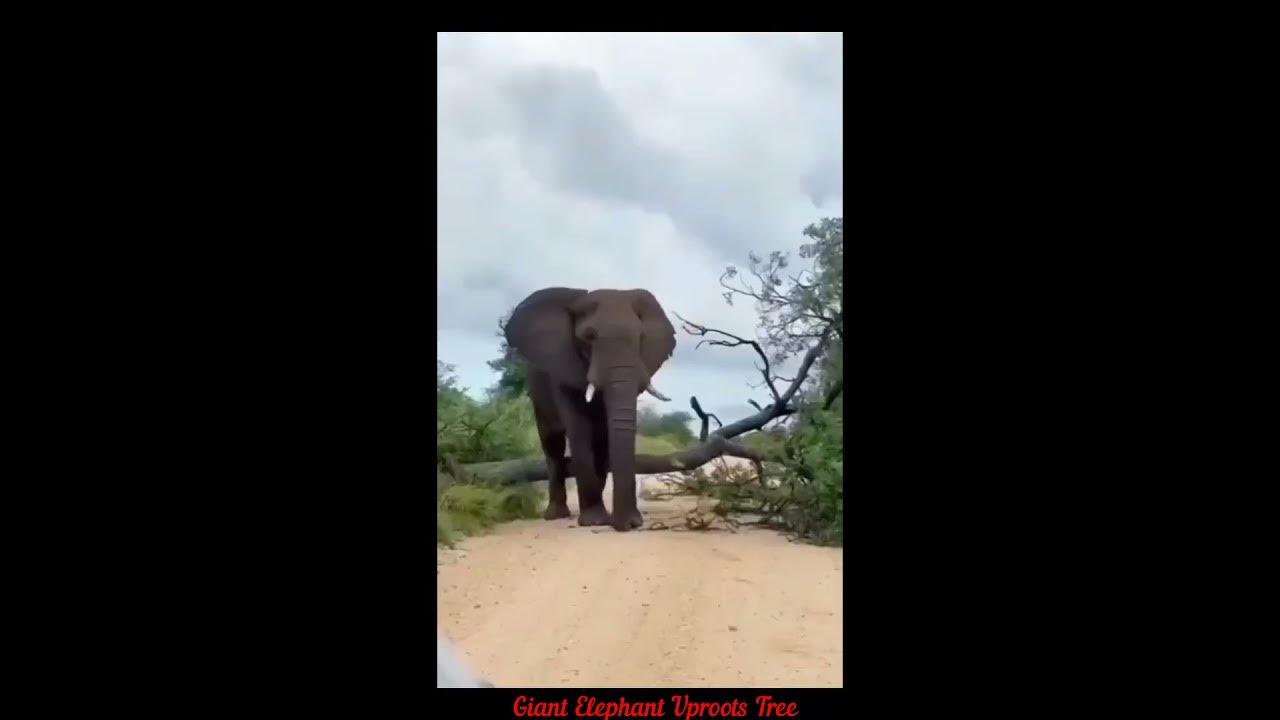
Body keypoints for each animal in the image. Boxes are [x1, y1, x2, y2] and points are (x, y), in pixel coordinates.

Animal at [505, 287, 676, 532]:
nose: (632, 524)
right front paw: (594, 521)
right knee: (552, 443)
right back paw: (556, 515)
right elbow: (579, 427)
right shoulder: (564, 366)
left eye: (641, 338)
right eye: (589, 337)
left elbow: (604, 436)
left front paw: (607, 519)